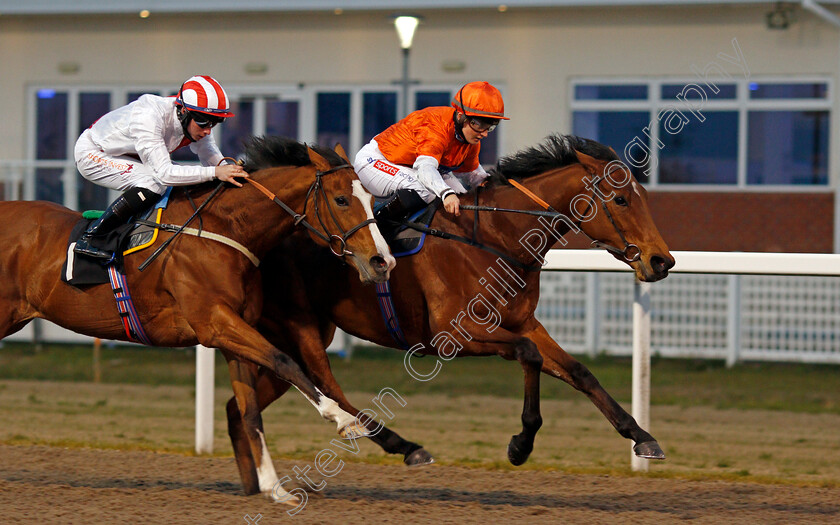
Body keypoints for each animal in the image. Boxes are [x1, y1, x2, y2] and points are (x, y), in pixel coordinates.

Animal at [0, 135, 396, 496]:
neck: (225, 229)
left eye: (372, 198)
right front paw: (345, 420)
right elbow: (286, 361)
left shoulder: (234, 330)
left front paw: (273, 486)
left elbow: (250, 409)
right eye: (341, 199)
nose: (383, 261)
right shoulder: (215, 323)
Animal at [223, 133, 676, 502]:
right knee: (323, 381)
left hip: (289, 332)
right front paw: (521, 444)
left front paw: (642, 437)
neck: (495, 236)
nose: (662, 261)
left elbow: (579, 371)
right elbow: (527, 355)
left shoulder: (524, 324)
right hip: (298, 325)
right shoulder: (454, 334)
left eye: (642, 197)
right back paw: (404, 446)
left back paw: (253, 484)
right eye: (621, 199)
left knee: (243, 403)